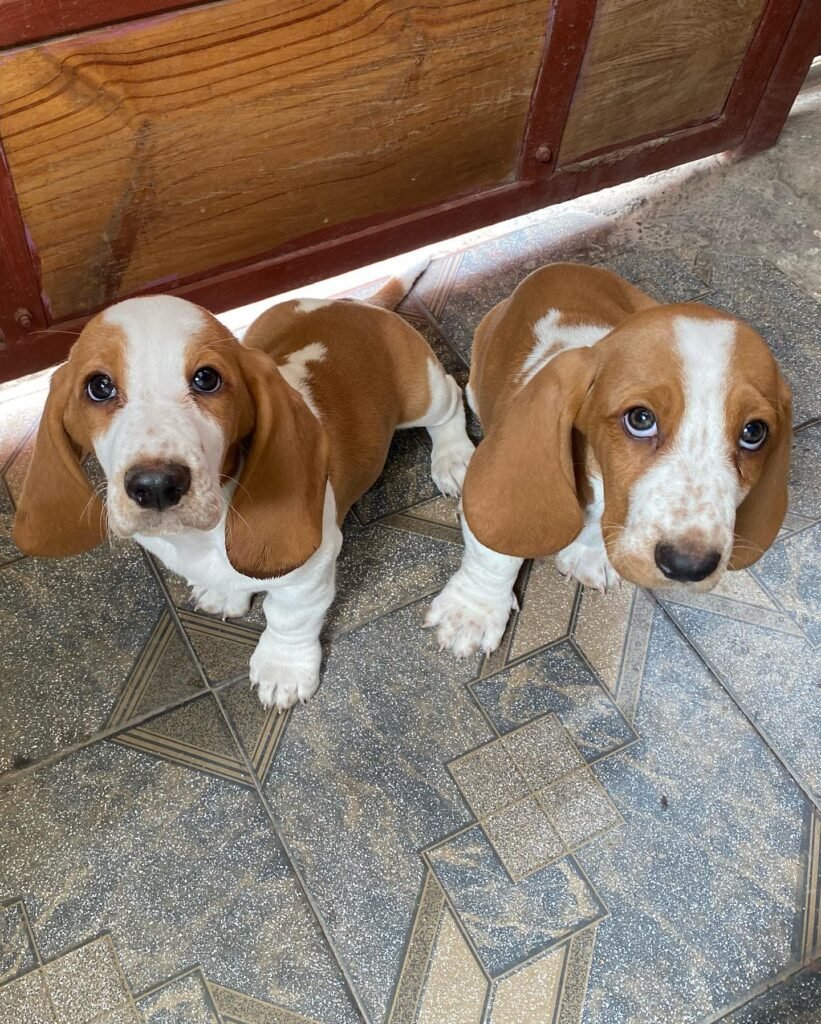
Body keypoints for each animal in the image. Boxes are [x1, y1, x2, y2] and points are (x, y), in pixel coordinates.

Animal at [14, 268, 475, 708]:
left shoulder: (311, 568)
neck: (200, 535)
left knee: (452, 399)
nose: (157, 485)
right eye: (99, 386)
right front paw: (224, 591)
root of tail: (357, 304)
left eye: (207, 379)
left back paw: (453, 458)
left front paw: (283, 668)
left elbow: (288, 616)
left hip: (424, 393)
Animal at [426, 262, 792, 657]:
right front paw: (471, 613)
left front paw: (590, 553)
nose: (688, 566)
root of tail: (559, 266)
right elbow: (495, 553)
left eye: (753, 432)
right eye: (641, 419)